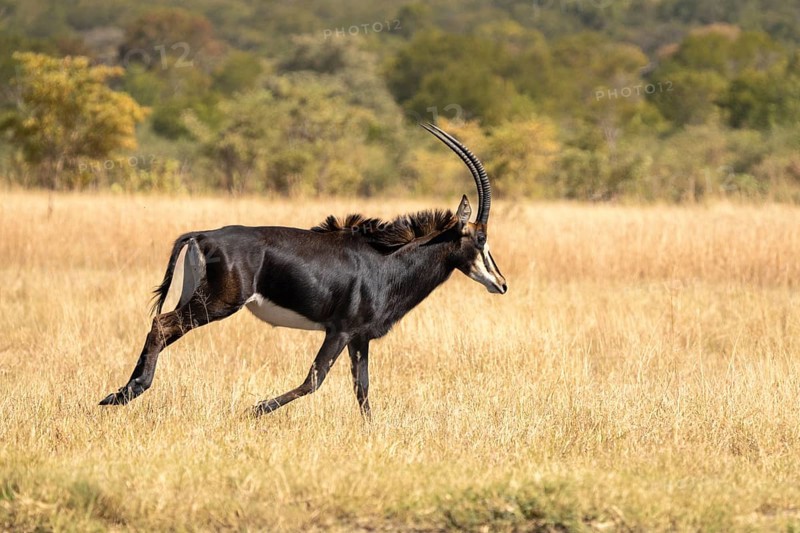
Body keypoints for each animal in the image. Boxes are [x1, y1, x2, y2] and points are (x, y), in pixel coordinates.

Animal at [99, 124, 507, 417]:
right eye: (480, 237)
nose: (501, 284)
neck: (386, 260)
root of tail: (202, 235)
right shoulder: (340, 330)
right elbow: (315, 379)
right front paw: (255, 409)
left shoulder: (359, 338)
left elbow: (362, 389)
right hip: (216, 304)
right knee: (161, 325)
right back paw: (124, 395)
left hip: (197, 298)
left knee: (163, 328)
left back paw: (120, 393)